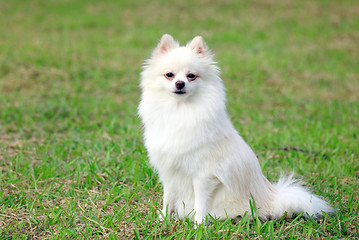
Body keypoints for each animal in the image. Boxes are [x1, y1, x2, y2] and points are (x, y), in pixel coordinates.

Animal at [139, 34, 334, 225]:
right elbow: (168, 198)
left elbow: (200, 204)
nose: (180, 83)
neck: (179, 110)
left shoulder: (204, 176)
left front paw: (198, 225)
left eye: (191, 75)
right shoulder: (169, 172)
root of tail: (273, 199)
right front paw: (163, 219)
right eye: (169, 75)